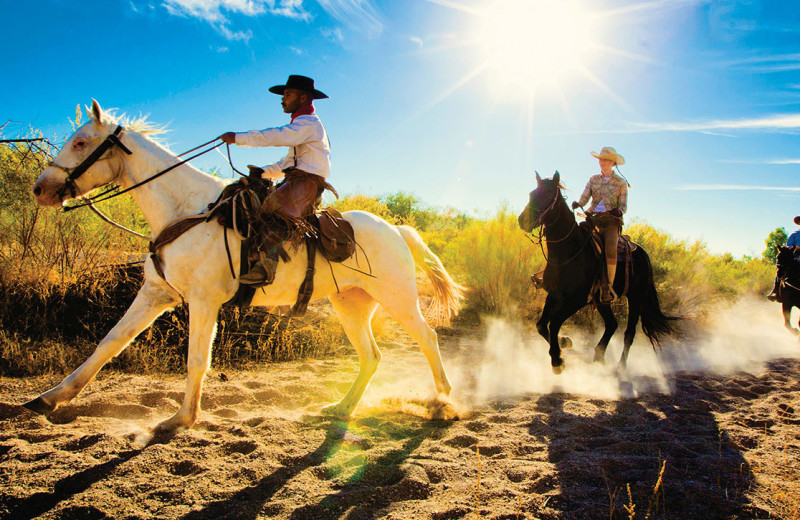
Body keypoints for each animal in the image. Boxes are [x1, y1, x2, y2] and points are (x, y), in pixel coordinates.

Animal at [28, 99, 462, 432]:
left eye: (80, 142)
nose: (40, 188)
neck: (186, 212)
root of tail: (395, 229)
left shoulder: (203, 301)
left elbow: (196, 359)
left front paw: (181, 419)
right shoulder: (157, 294)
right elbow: (109, 342)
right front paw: (49, 398)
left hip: (397, 297)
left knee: (428, 339)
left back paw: (442, 401)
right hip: (351, 304)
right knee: (371, 356)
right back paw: (341, 408)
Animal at [516, 174, 680, 374]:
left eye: (547, 194)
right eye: (531, 193)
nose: (523, 220)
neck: (569, 252)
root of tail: (644, 254)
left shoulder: (577, 300)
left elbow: (554, 323)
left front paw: (557, 360)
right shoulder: (554, 295)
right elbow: (541, 325)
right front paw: (564, 342)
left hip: (636, 298)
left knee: (629, 333)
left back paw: (620, 367)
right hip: (603, 300)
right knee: (612, 324)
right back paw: (599, 356)